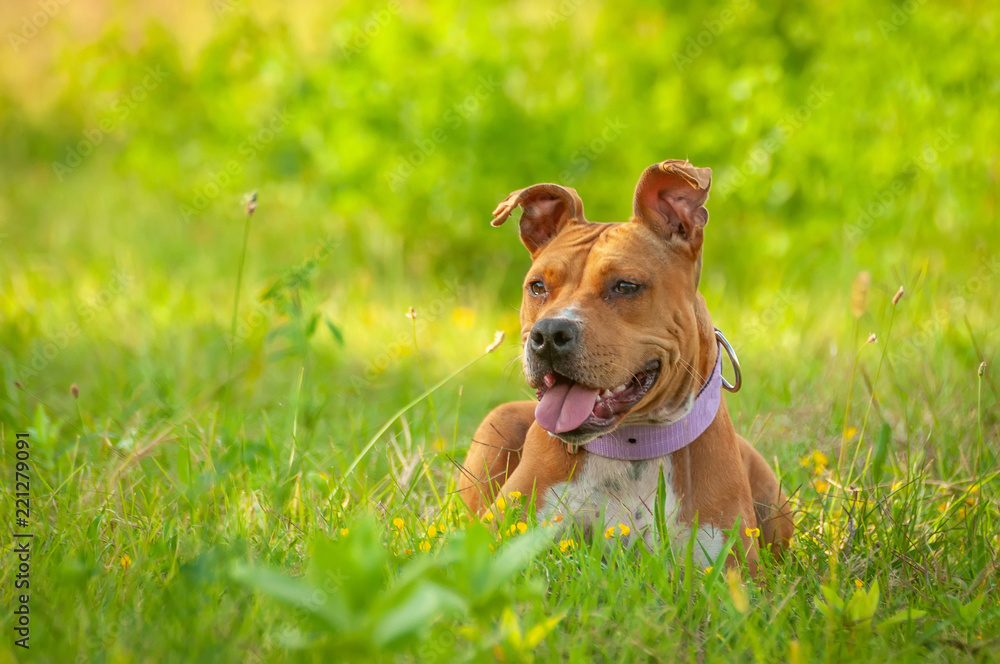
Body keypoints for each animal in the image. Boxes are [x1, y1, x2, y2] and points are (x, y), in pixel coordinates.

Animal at [460, 158, 796, 572]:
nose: (549, 333)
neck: (633, 446)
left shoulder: (730, 570)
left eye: (625, 286)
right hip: (500, 419)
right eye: (537, 287)